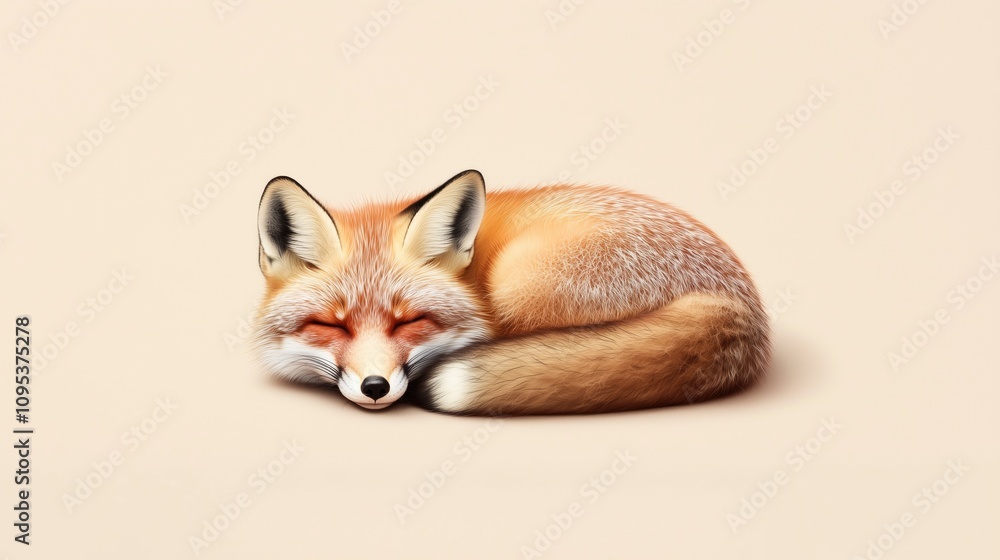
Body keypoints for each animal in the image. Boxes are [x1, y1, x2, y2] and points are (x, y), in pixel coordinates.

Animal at [252, 170, 770, 415]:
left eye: (410, 321)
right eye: (330, 325)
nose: (375, 388)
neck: (471, 271)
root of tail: (739, 302)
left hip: (514, 285)